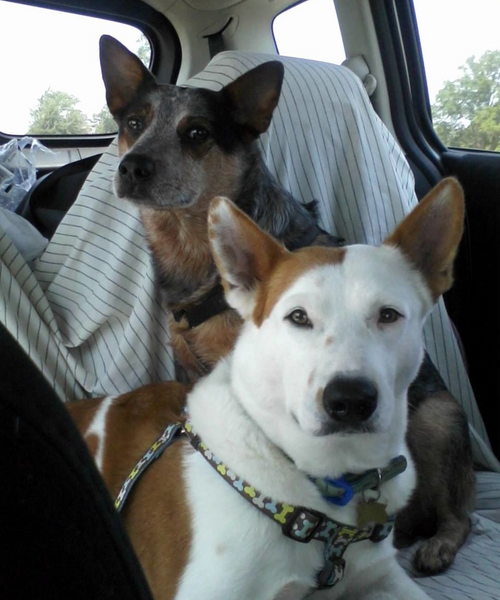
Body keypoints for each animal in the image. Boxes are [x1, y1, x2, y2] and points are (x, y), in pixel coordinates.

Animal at [96, 36, 472, 572]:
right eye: (133, 123)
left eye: (197, 132)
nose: (132, 166)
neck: (191, 251)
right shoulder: (187, 367)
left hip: (438, 419)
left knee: (460, 513)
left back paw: (437, 542)